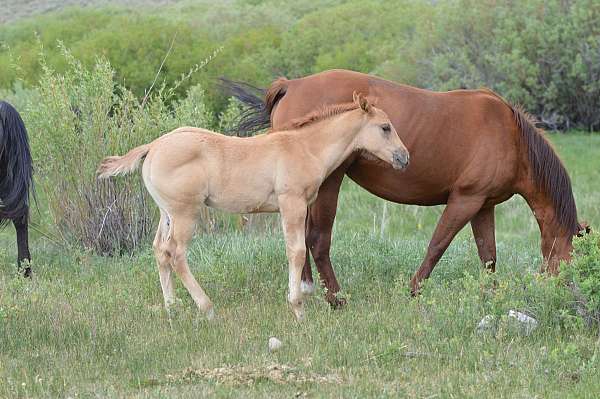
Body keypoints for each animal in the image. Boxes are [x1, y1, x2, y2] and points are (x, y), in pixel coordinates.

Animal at [223, 69, 584, 306]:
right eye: (572, 260)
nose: (572, 299)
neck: (510, 135)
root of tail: (290, 85)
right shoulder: (465, 200)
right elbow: (437, 246)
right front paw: (413, 292)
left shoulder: (484, 205)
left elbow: (488, 256)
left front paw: (491, 296)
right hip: (328, 183)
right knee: (317, 239)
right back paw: (336, 299)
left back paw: (308, 289)